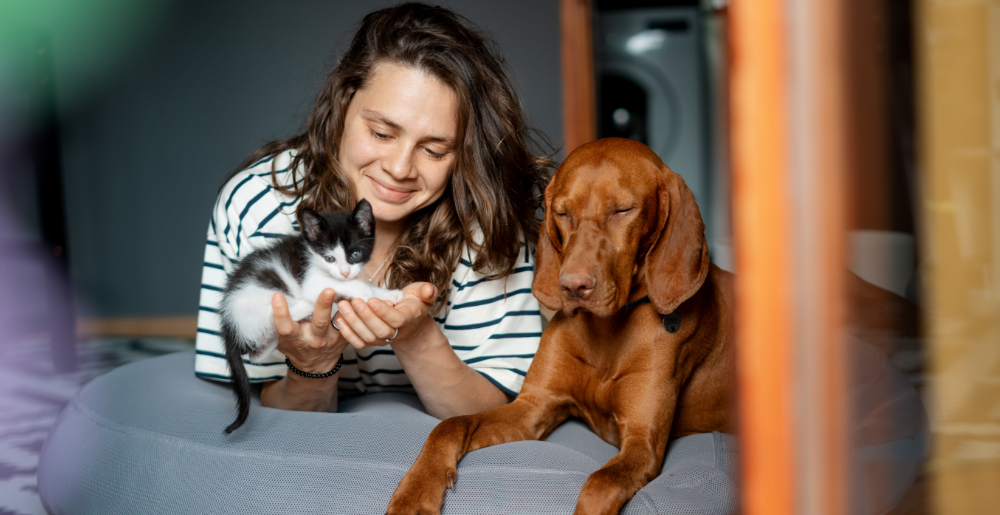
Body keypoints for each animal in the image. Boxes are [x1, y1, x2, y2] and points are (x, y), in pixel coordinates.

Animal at [222, 200, 402, 434]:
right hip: (264, 295)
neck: (313, 254)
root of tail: (228, 322)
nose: (344, 272)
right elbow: (352, 284)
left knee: (255, 354)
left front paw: (389, 294)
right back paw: (306, 307)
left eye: (355, 254)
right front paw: (366, 293)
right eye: (329, 258)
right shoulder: (312, 280)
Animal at [386, 138, 740, 515]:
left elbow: (600, 484)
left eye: (622, 211)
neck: (608, 330)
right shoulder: (532, 408)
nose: (572, 286)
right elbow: (451, 424)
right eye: (562, 212)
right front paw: (415, 491)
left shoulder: (642, 445)